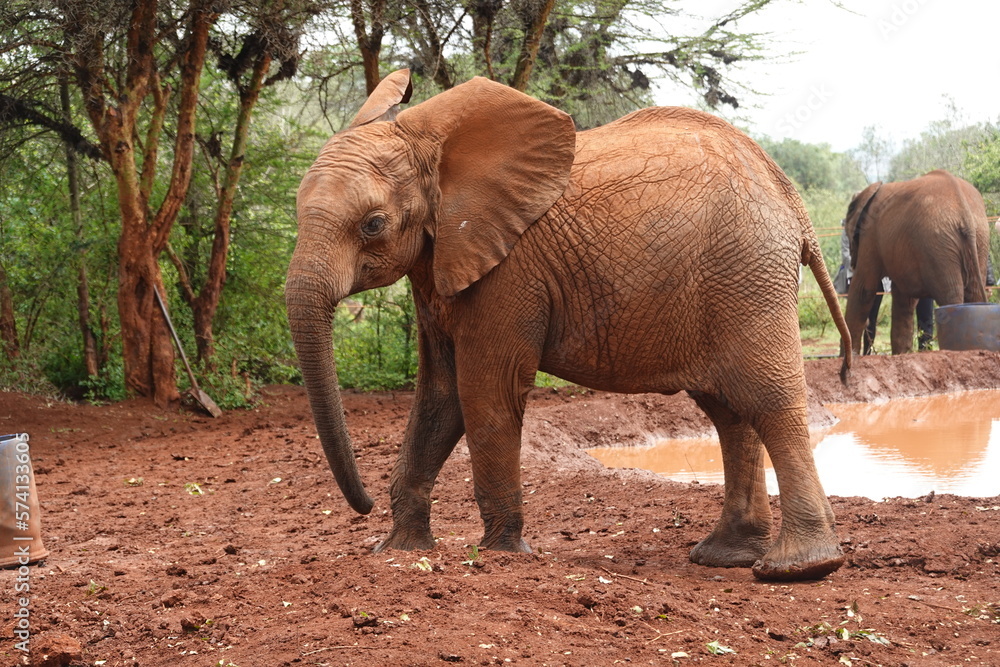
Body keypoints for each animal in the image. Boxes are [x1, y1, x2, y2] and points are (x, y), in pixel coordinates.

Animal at [288, 68, 852, 580]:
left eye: (373, 225)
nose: (361, 505)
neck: (436, 151)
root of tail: (792, 200)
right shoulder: (437, 264)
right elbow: (439, 394)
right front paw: (398, 550)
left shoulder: (509, 269)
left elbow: (486, 391)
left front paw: (502, 555)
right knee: (729, 411)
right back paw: (725, 557)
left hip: (747, 273)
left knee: (768, 399)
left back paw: (798, 568)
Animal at [840, 170, 988, 354]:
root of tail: (964, 210)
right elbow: (904, 299)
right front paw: (901, 355)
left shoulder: (870, 234)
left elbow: (863, 290)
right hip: (977, 239)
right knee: (973, 294)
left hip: (936, 241)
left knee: (951, 296)